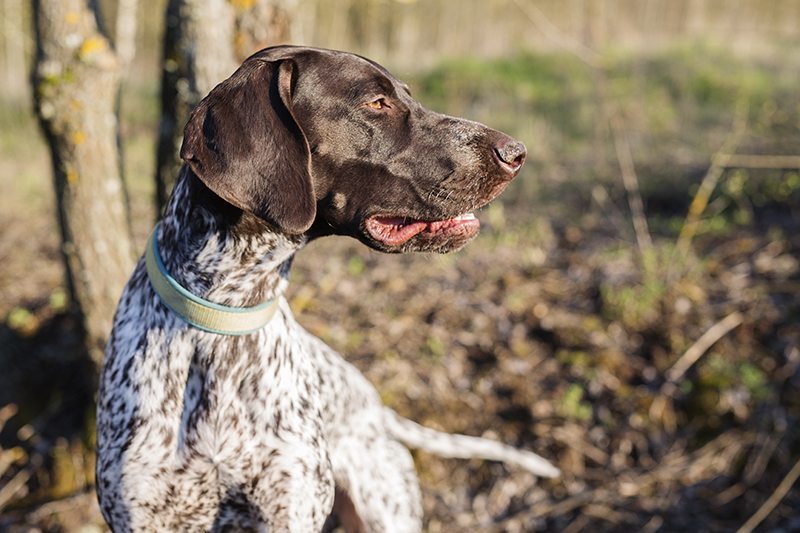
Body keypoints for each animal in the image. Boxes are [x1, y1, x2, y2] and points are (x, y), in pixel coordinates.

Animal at [95, 46, 556, 532]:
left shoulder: (289, 508)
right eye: (377, 103)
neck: (223, 318)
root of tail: (376, 408)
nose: (516, 152)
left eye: (406, 96)